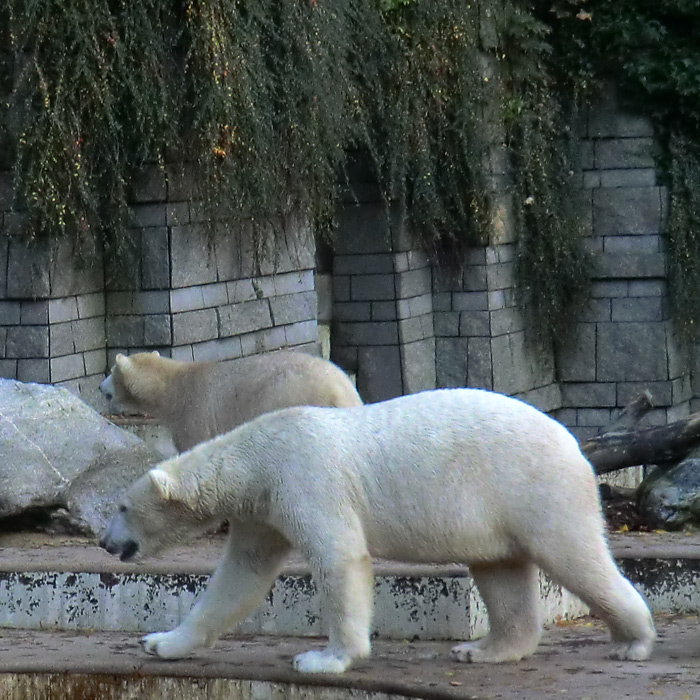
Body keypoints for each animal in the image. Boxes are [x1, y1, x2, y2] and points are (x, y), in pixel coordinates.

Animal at [98, 388, 656, 672]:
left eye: (121, 506)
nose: (104, 542)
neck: (257, 457)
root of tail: (575, 444)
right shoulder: (263, 513)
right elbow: (239, 577)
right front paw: (161, 642)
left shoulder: (305, 479)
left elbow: (339, 560)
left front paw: (324, 658)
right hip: (494, 510)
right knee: (500, 570)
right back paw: (482, 649)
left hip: (533, 487)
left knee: (574, 556)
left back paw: (633, 641)